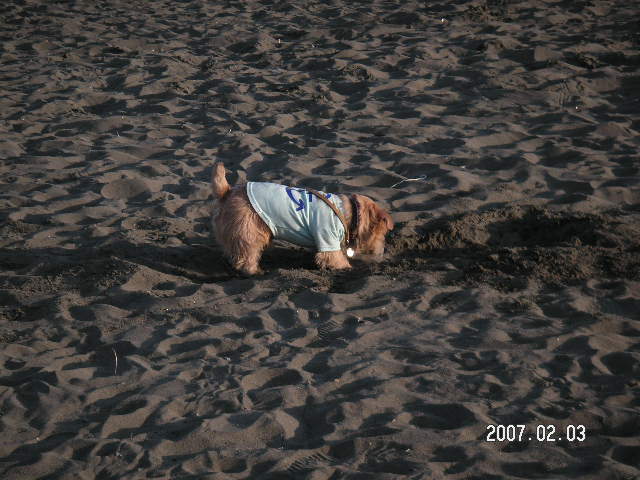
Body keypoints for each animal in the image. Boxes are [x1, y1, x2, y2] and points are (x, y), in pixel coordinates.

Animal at [211, 163, 393, 275]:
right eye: (383, 234)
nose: (382, 253)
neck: (351, 214)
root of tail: (228, 192)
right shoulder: (328, 241)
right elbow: (336, 260)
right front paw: (348, 268)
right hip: (250, 232)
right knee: (247, 255)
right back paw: (253, 271)